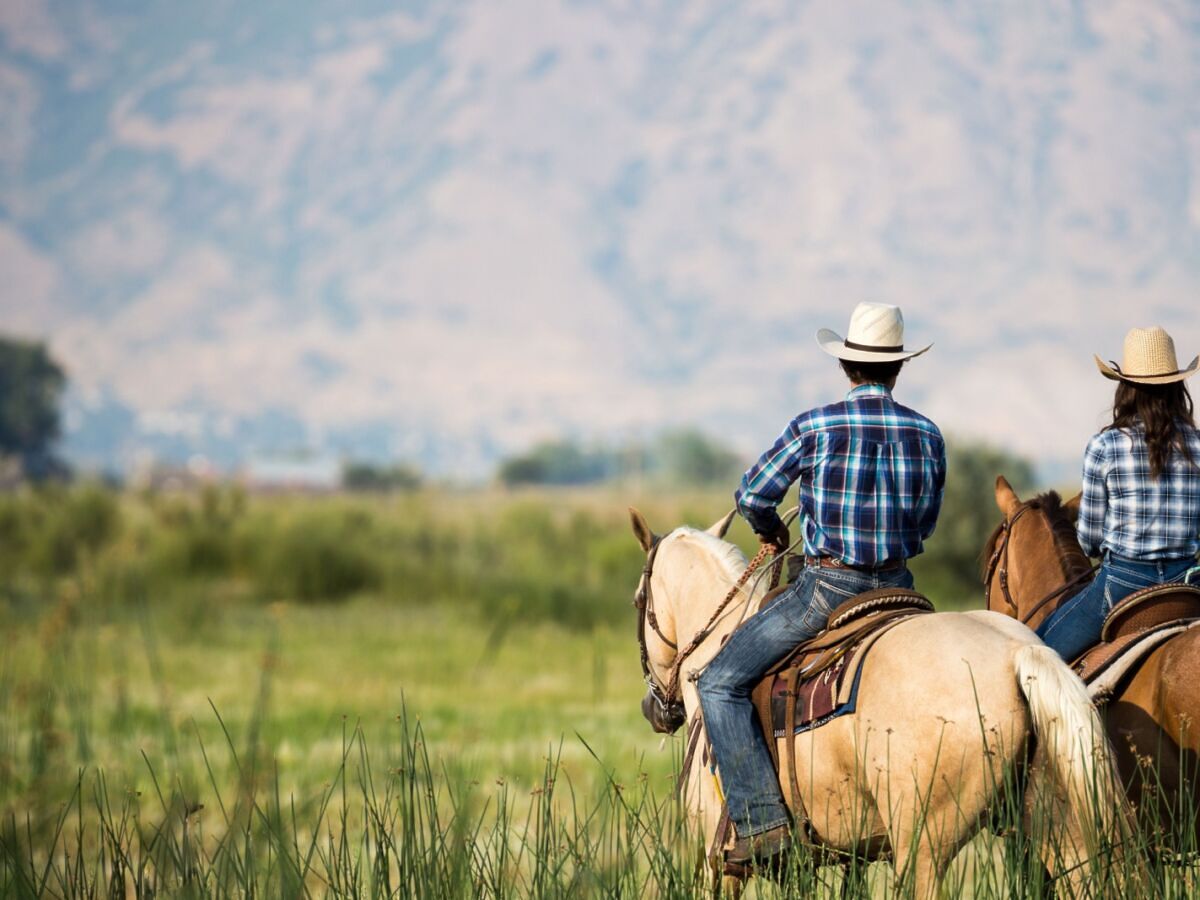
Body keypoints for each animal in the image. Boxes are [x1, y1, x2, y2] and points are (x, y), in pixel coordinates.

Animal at [633, 511, 1128, 897]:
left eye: (639, 600)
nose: (654, 709)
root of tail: (1017, 654)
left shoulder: (714, 862)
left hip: (923, 847)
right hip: (1060, 829)